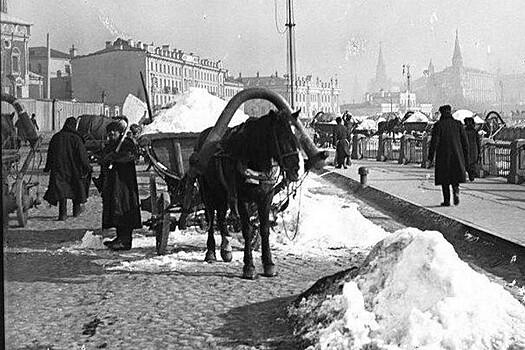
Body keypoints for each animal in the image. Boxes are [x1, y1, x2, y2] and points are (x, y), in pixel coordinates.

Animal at [193, 108, 300, 278]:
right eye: (281, 136)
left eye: (295, 137)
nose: (295, 169)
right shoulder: (242, 199)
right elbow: (247, 230)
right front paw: (249, 266)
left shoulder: (266, 197)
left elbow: (264, 228)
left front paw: (269, 264)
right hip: (208, 192)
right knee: (210, 218)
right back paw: (210, 252)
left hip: (223, 194)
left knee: (221, 217)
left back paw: (226, 249)